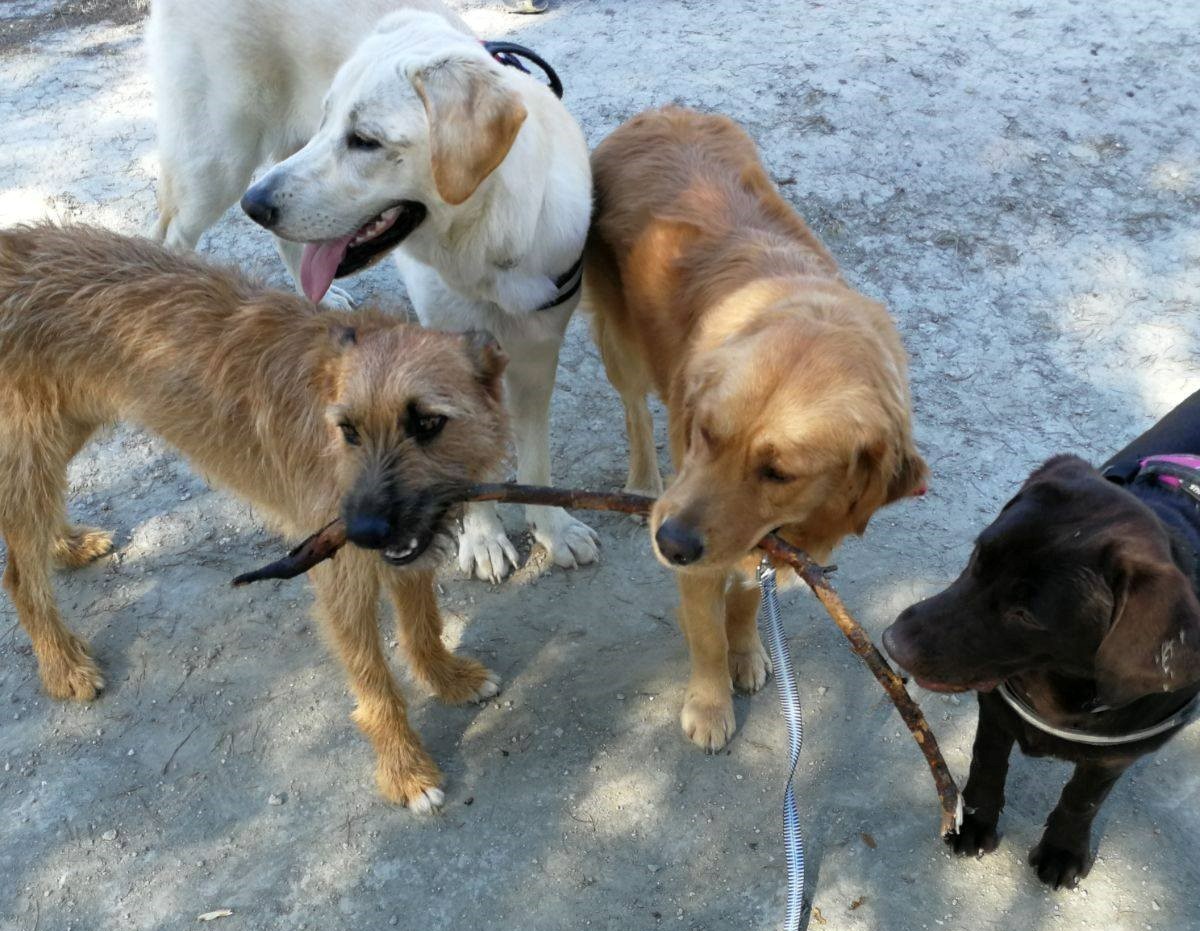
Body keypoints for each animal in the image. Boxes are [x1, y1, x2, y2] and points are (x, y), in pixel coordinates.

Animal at [0, 221, 506, 811]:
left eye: (427, 423)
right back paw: (62, 664)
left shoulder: (406, 550)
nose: (363, 531)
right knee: (19, 574)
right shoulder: (343, 579)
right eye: (348, 430)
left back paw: (64, 544)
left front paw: (447, 679)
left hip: (61, 430)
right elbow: (376, 684)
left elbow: (424, 625)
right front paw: (406, 771)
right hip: (33, 442)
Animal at [150, 0, 600, 578]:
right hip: (216, 164)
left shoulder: (540, 350)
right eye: (329, 118)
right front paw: (482, 538)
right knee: (172, 235)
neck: (487, 238)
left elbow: (537, 460)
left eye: (365, 140)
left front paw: (553, 528)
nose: (255, 206)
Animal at [583, 107, 926, 748]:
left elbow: (744, 605)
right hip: (623, 345)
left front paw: (745, 653)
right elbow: (706, 634)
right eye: (704, 435)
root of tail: (658, 111)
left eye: (778, 472)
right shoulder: (699, 553)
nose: (668, 542)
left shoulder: (756, 543)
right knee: (634, 407)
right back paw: (641, 480)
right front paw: (710, 705)